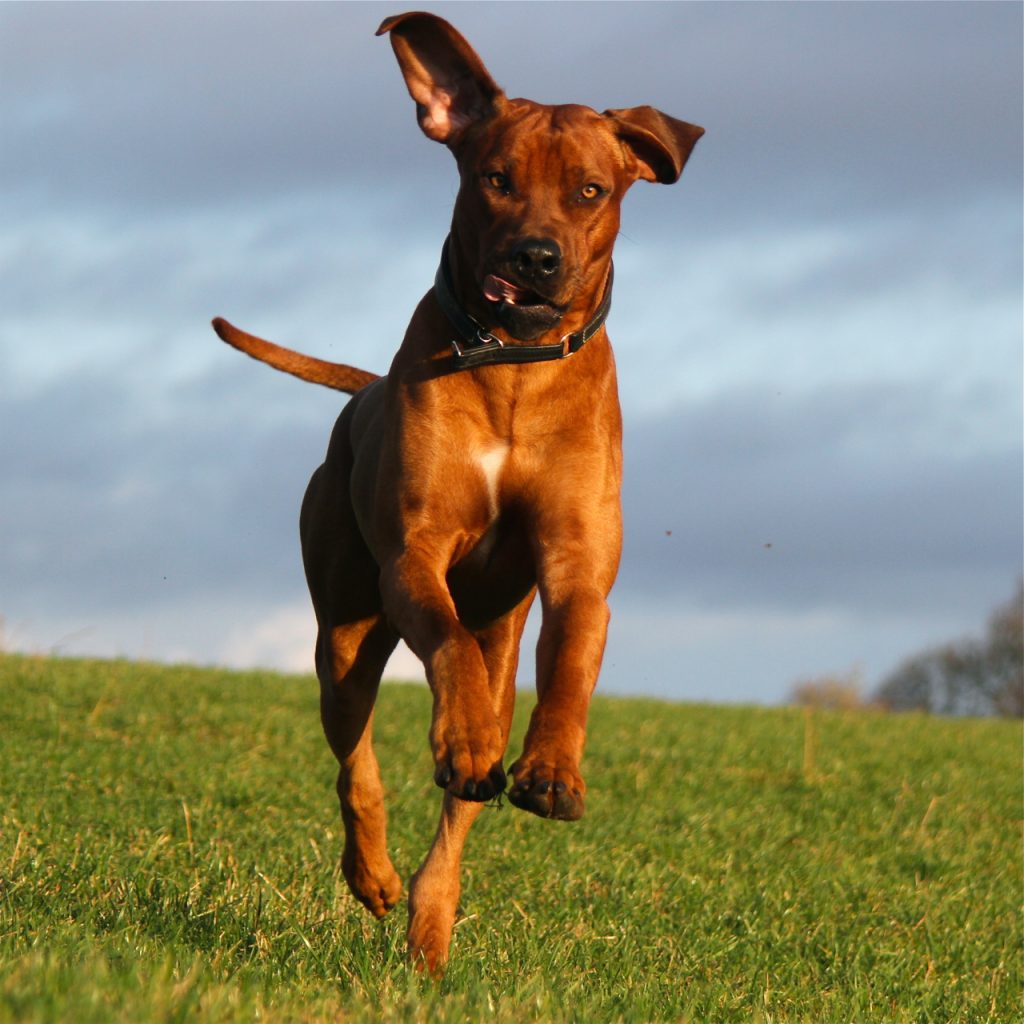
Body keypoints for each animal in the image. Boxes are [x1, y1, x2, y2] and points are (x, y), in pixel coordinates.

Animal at [211, 12, 700, 970]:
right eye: (494, 179)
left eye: (590, 190)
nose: (535, 258)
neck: (510, 365)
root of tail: (362, 391)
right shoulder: (415, 558)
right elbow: (443, 648)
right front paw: (465, 735)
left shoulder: (579, 566)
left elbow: (572, 662)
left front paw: (552, 770)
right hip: (342, 635)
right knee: (357, 758)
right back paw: (378, 872)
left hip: (498, 634)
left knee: (460, 805)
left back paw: (431, 928)